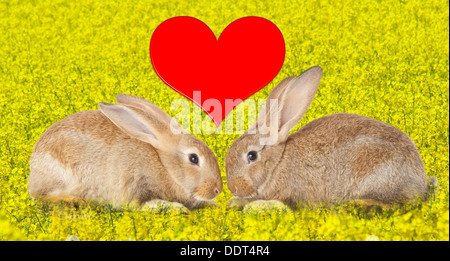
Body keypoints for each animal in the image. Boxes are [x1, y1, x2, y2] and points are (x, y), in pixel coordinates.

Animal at [29, 93, 222, 209]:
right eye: (194, 158)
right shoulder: (135, 186)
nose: (217, 190)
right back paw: (74, 200)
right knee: (41, 196)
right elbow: (140, 206)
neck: (165, 166)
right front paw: (176, 208)